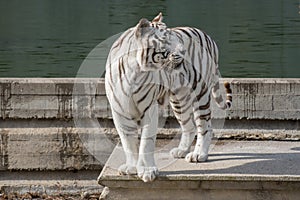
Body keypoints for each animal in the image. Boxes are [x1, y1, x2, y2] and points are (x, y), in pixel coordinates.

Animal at [105, 11, 232, 182]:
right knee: (189, 126)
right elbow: (128, 142)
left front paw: (147, 171)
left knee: (205, 126)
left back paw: (199, 154)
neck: (134, 71)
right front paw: (131, 167)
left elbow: (146, 142)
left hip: (201, 93)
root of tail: (207, 36)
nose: (183, 51)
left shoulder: (149, 110)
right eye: (165, 39)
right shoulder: (119, 112)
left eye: (175, 37)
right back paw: (182, 151)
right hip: (179, 100)